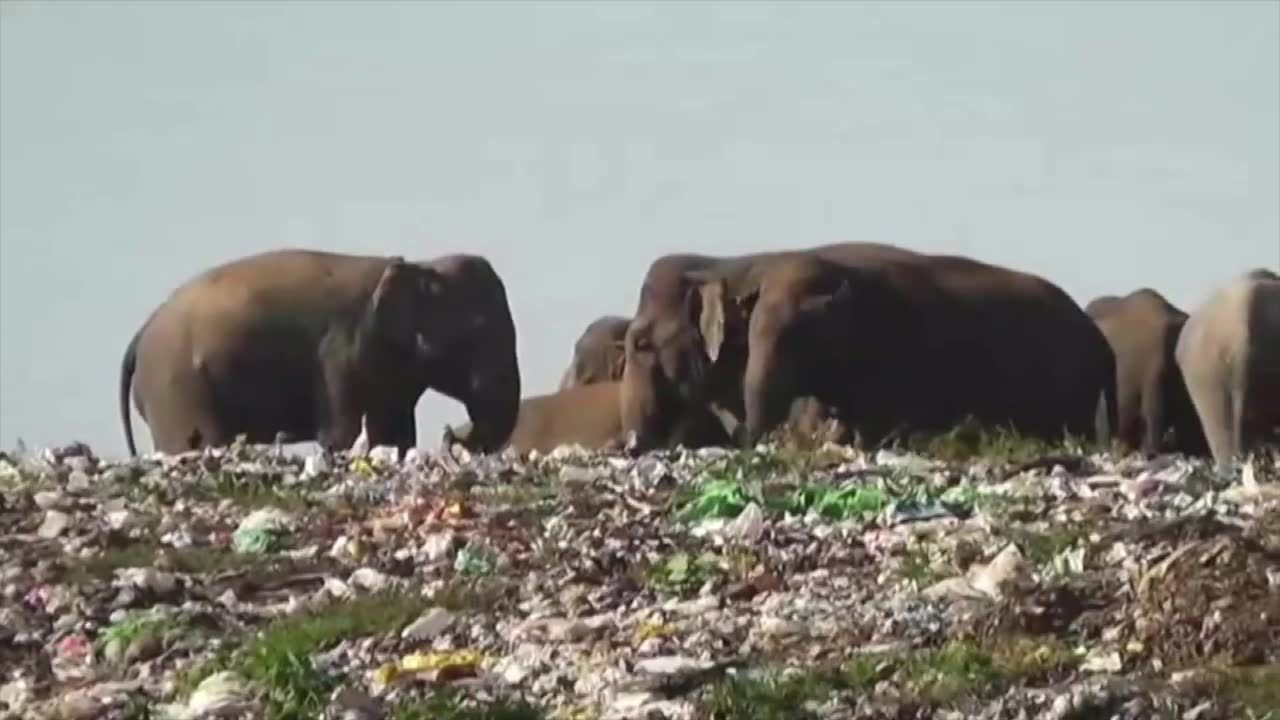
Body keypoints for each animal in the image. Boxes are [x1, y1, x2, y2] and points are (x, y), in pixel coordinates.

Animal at [119, 248, 519, 453]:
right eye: (479, 329)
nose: (452, 435)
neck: (419, 265)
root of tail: (139, 335)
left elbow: (394, 433)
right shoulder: (342, 350)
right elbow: (343, 433)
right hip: (175, 388)